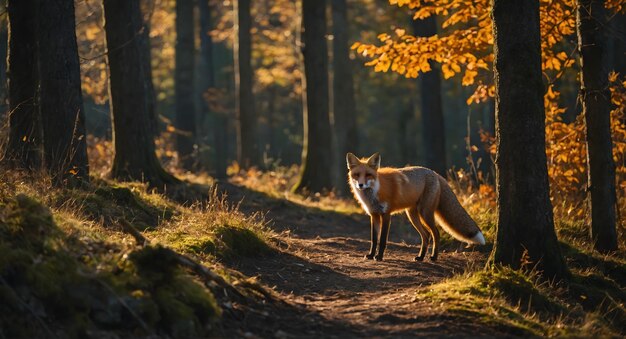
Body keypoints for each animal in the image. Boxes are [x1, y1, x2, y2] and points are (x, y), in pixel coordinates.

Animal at [344, 153, 486, 262]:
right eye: (357, 175)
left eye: (368, 174)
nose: (361, 185)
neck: (375, 191)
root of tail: (435, 173)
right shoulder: (374, 215)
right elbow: (374, 240)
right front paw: (371, 255)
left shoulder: (386, 215)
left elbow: (383, 240)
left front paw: (379, 257)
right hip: (412, 215)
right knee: (426, 235)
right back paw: (420, 257)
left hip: (425, 213)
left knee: (435, 233)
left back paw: (434, 257)